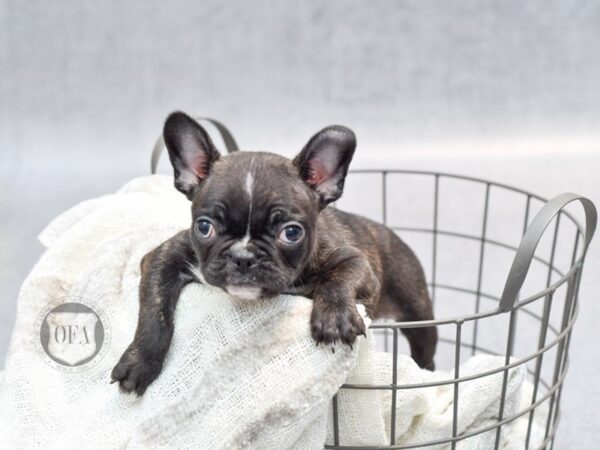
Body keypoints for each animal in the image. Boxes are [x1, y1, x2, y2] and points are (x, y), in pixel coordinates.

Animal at [111, 111, 436, 394]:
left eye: (291, 233)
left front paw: (335, 318)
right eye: (204, 227)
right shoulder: (163, 256)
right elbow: (154, 313)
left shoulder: (358, 263)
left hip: (416, 308)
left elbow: (339, 278)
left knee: (425, 349)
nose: (243, 257)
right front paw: (139, 361)